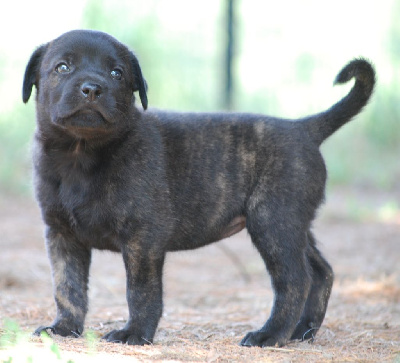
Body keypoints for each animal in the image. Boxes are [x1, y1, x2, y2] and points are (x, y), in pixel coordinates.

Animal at [22, 29, 376, 348]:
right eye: (62, 67)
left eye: (116, 73)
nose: (92, 88)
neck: (81, 153)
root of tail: (304, 128)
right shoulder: (62, 235)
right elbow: (67, 287)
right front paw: (63, 328)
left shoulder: (142, 239)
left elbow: (141, 291)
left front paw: (134, 334)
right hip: (293, 226)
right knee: (321, 271)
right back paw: (302, 331)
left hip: (274, 223)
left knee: (294, 280)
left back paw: (271, 335)